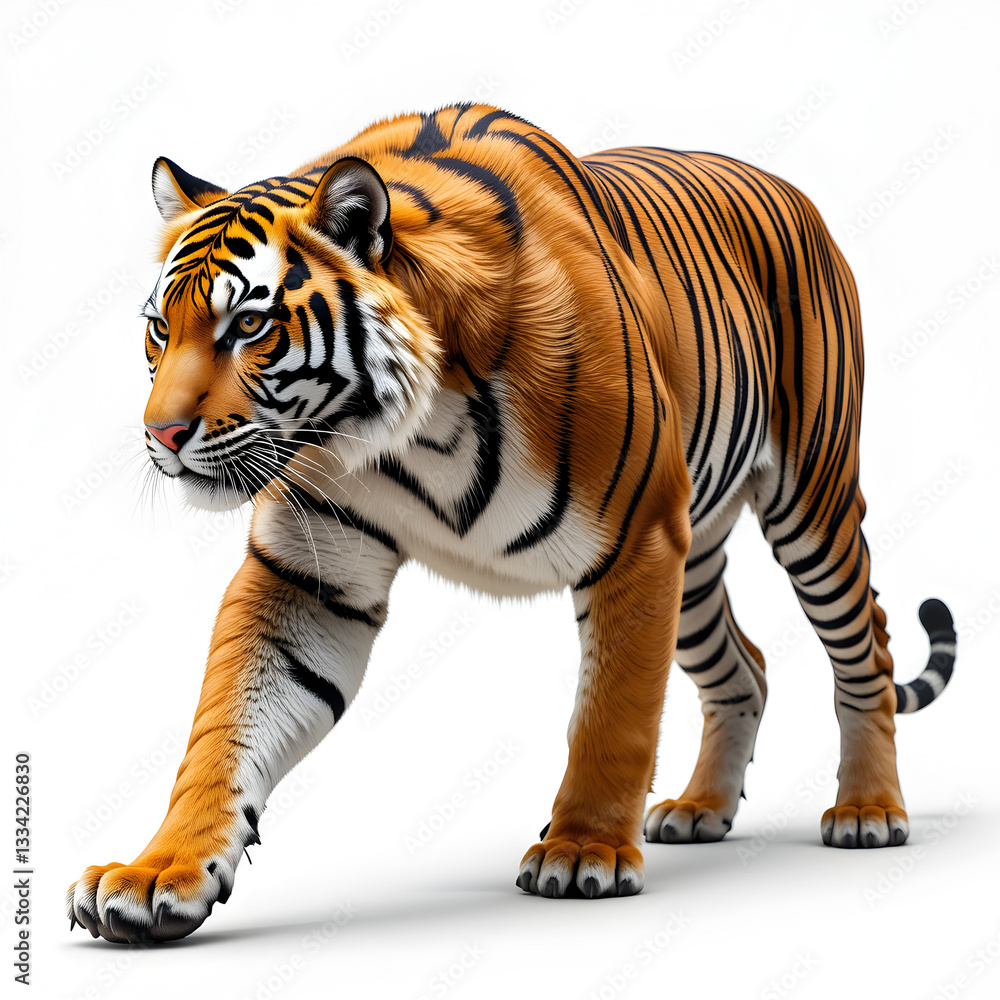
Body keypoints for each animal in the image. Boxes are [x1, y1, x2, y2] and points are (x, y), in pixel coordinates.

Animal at [66, 103, 956, 944]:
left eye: (247, 326)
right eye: (160, 328)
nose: (160, 435)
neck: (408, 433)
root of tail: (784, 184)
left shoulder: (638, 543)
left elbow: (613, 717)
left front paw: (584, 851)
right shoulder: (309, 574)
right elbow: (225, 727)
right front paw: (157, 875)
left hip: (812, 502)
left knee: (866, 644)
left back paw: (869, 810)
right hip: (696, 561)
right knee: (749, 667)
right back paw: (702, 808)